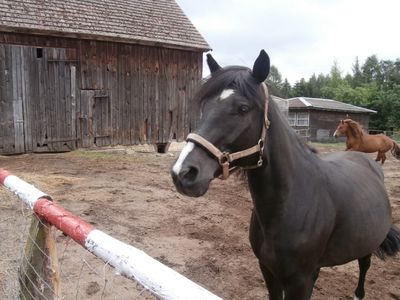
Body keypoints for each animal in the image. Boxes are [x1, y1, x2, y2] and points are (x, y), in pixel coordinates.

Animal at [171, 50, 400, 298]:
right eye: (205, 106)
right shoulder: (268, 270)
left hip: (367, 242)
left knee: (364, 264)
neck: (291, 202)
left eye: (243, 108)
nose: (183, 172)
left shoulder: (300, 281)